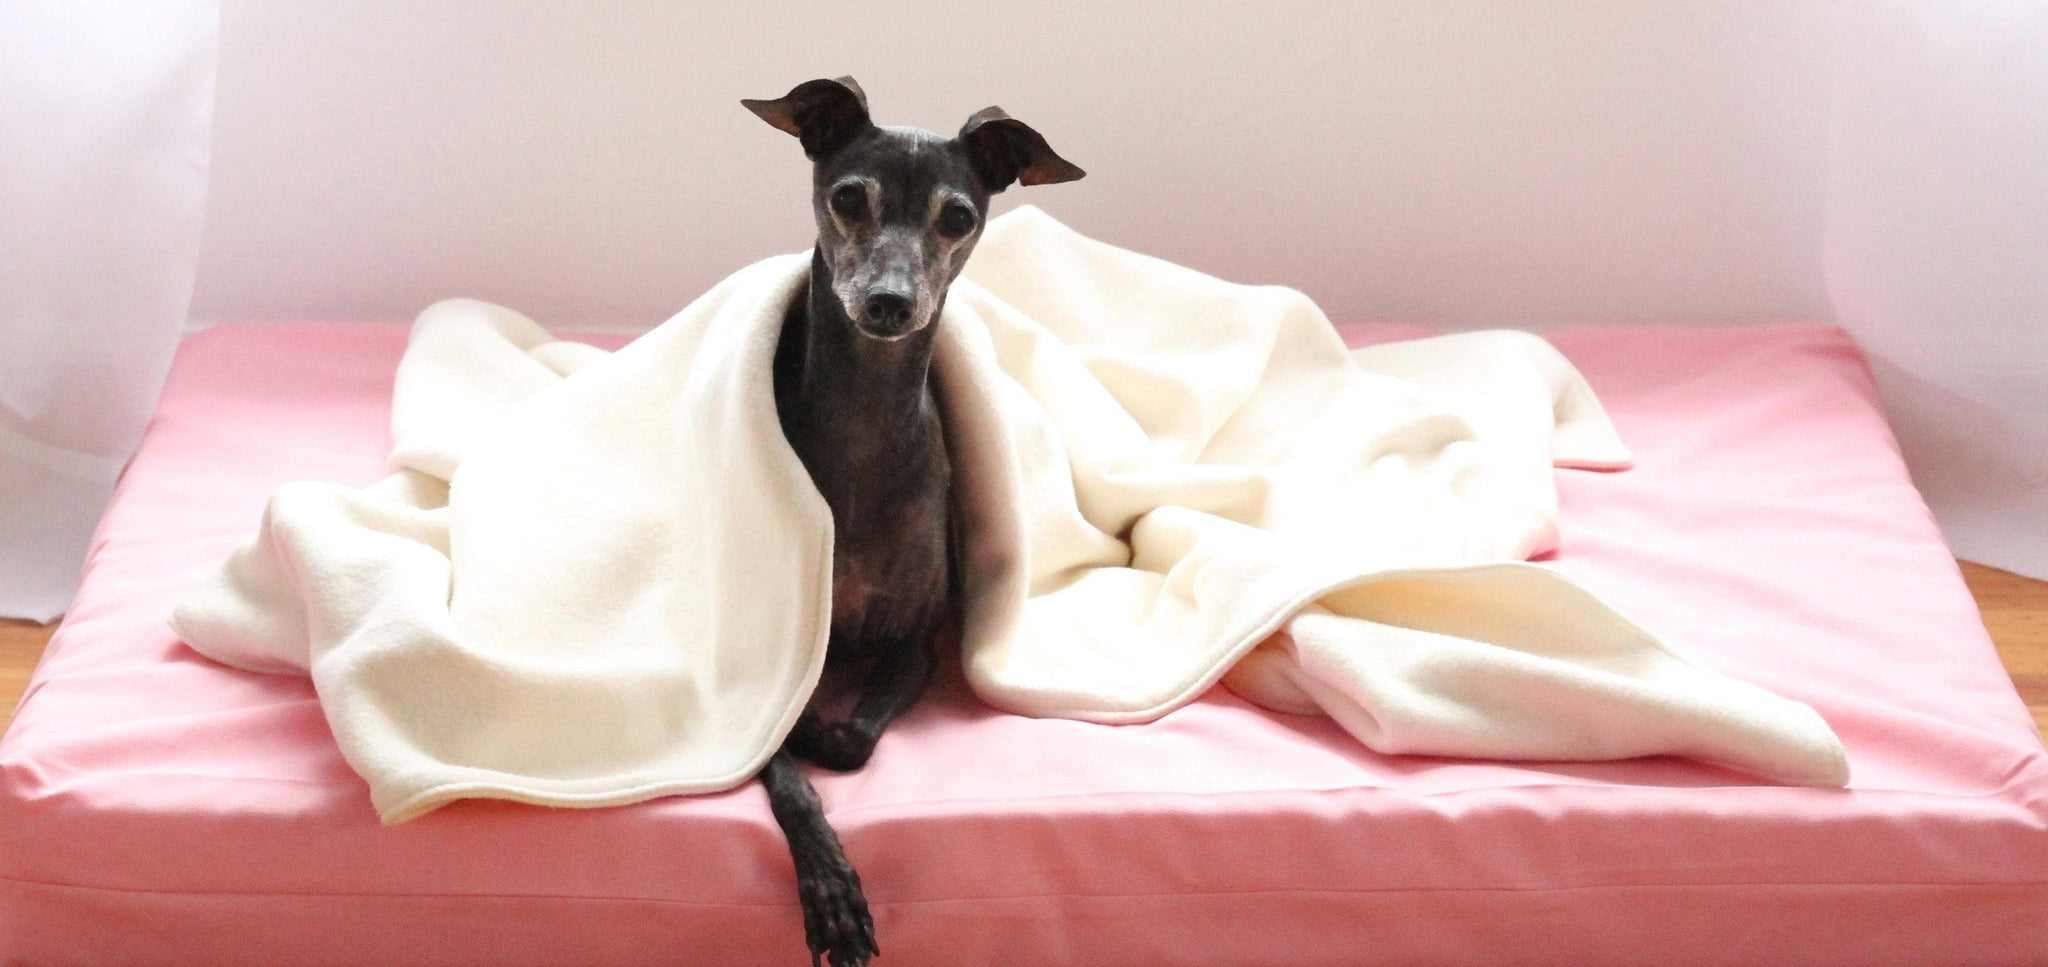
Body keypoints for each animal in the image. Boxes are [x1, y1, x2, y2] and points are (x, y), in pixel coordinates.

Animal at [741, 77, 1081, 966]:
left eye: (957, 216)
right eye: (847, 198)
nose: (888, 303)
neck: (862, 436)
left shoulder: (915, 641)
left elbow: (857, 737)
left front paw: (828, 734)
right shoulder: (761, 666)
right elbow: (788, 776)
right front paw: (832, 890)